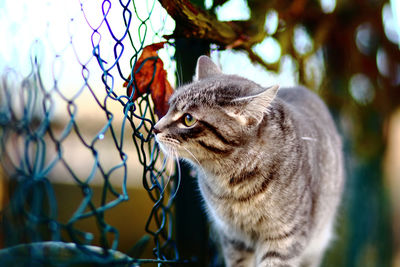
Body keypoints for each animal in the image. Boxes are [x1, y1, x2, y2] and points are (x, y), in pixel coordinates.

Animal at [153, 55, 344, 266]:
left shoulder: (284, 238)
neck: (234, 185)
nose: (155, 128)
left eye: (188, 119)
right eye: (169, 106)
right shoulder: (233, 237)